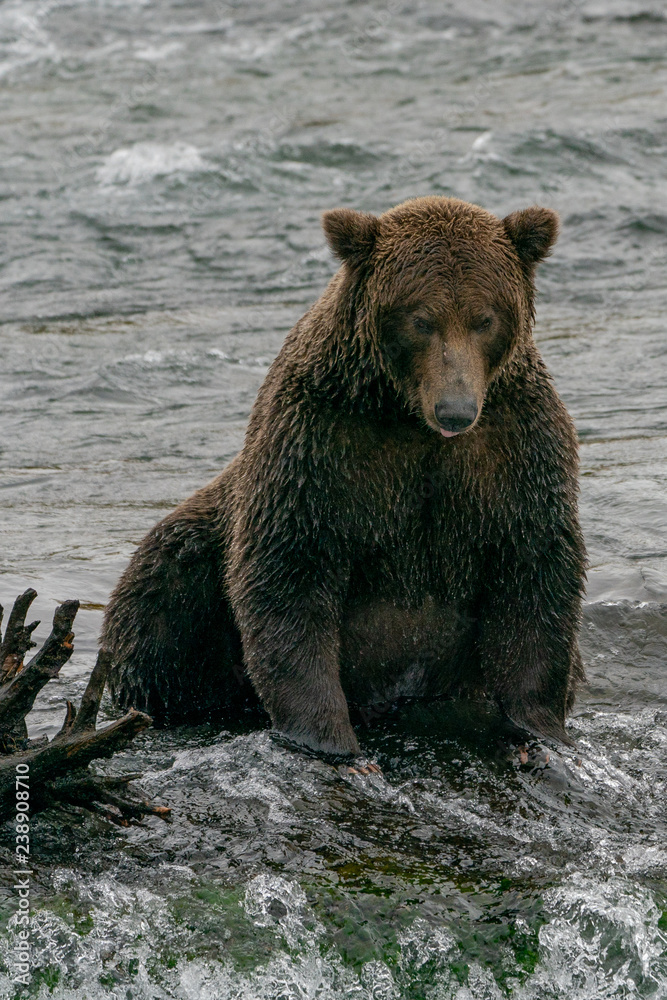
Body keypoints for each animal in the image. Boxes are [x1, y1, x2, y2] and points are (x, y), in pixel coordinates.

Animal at [102, 196, 586, 762]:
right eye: (422, 320)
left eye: (484, 318)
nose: (455, 410)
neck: (407, 415)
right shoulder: (320, 443)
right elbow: (289, 568)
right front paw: (328, 737)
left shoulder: (515, 448)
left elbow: (534, 568)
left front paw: (539, 727)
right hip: (197, 554)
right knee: (159, 609)